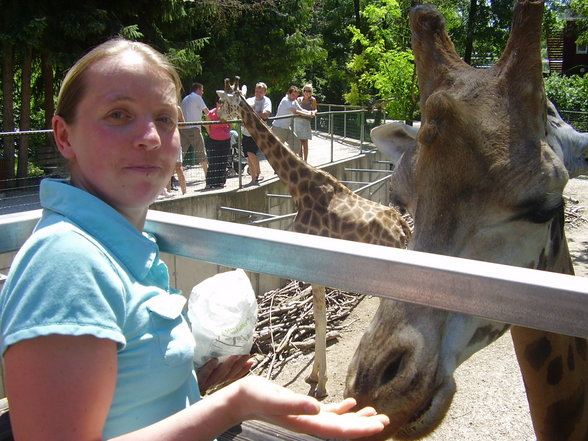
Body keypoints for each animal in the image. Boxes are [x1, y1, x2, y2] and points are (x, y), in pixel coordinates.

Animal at [215, 79, 408, 398]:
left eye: (221, 101)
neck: (298, 186)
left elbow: (319, 316)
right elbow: (321, 316)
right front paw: (315, 376)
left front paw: (321, 382)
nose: (214, 116)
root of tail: (404, 228)